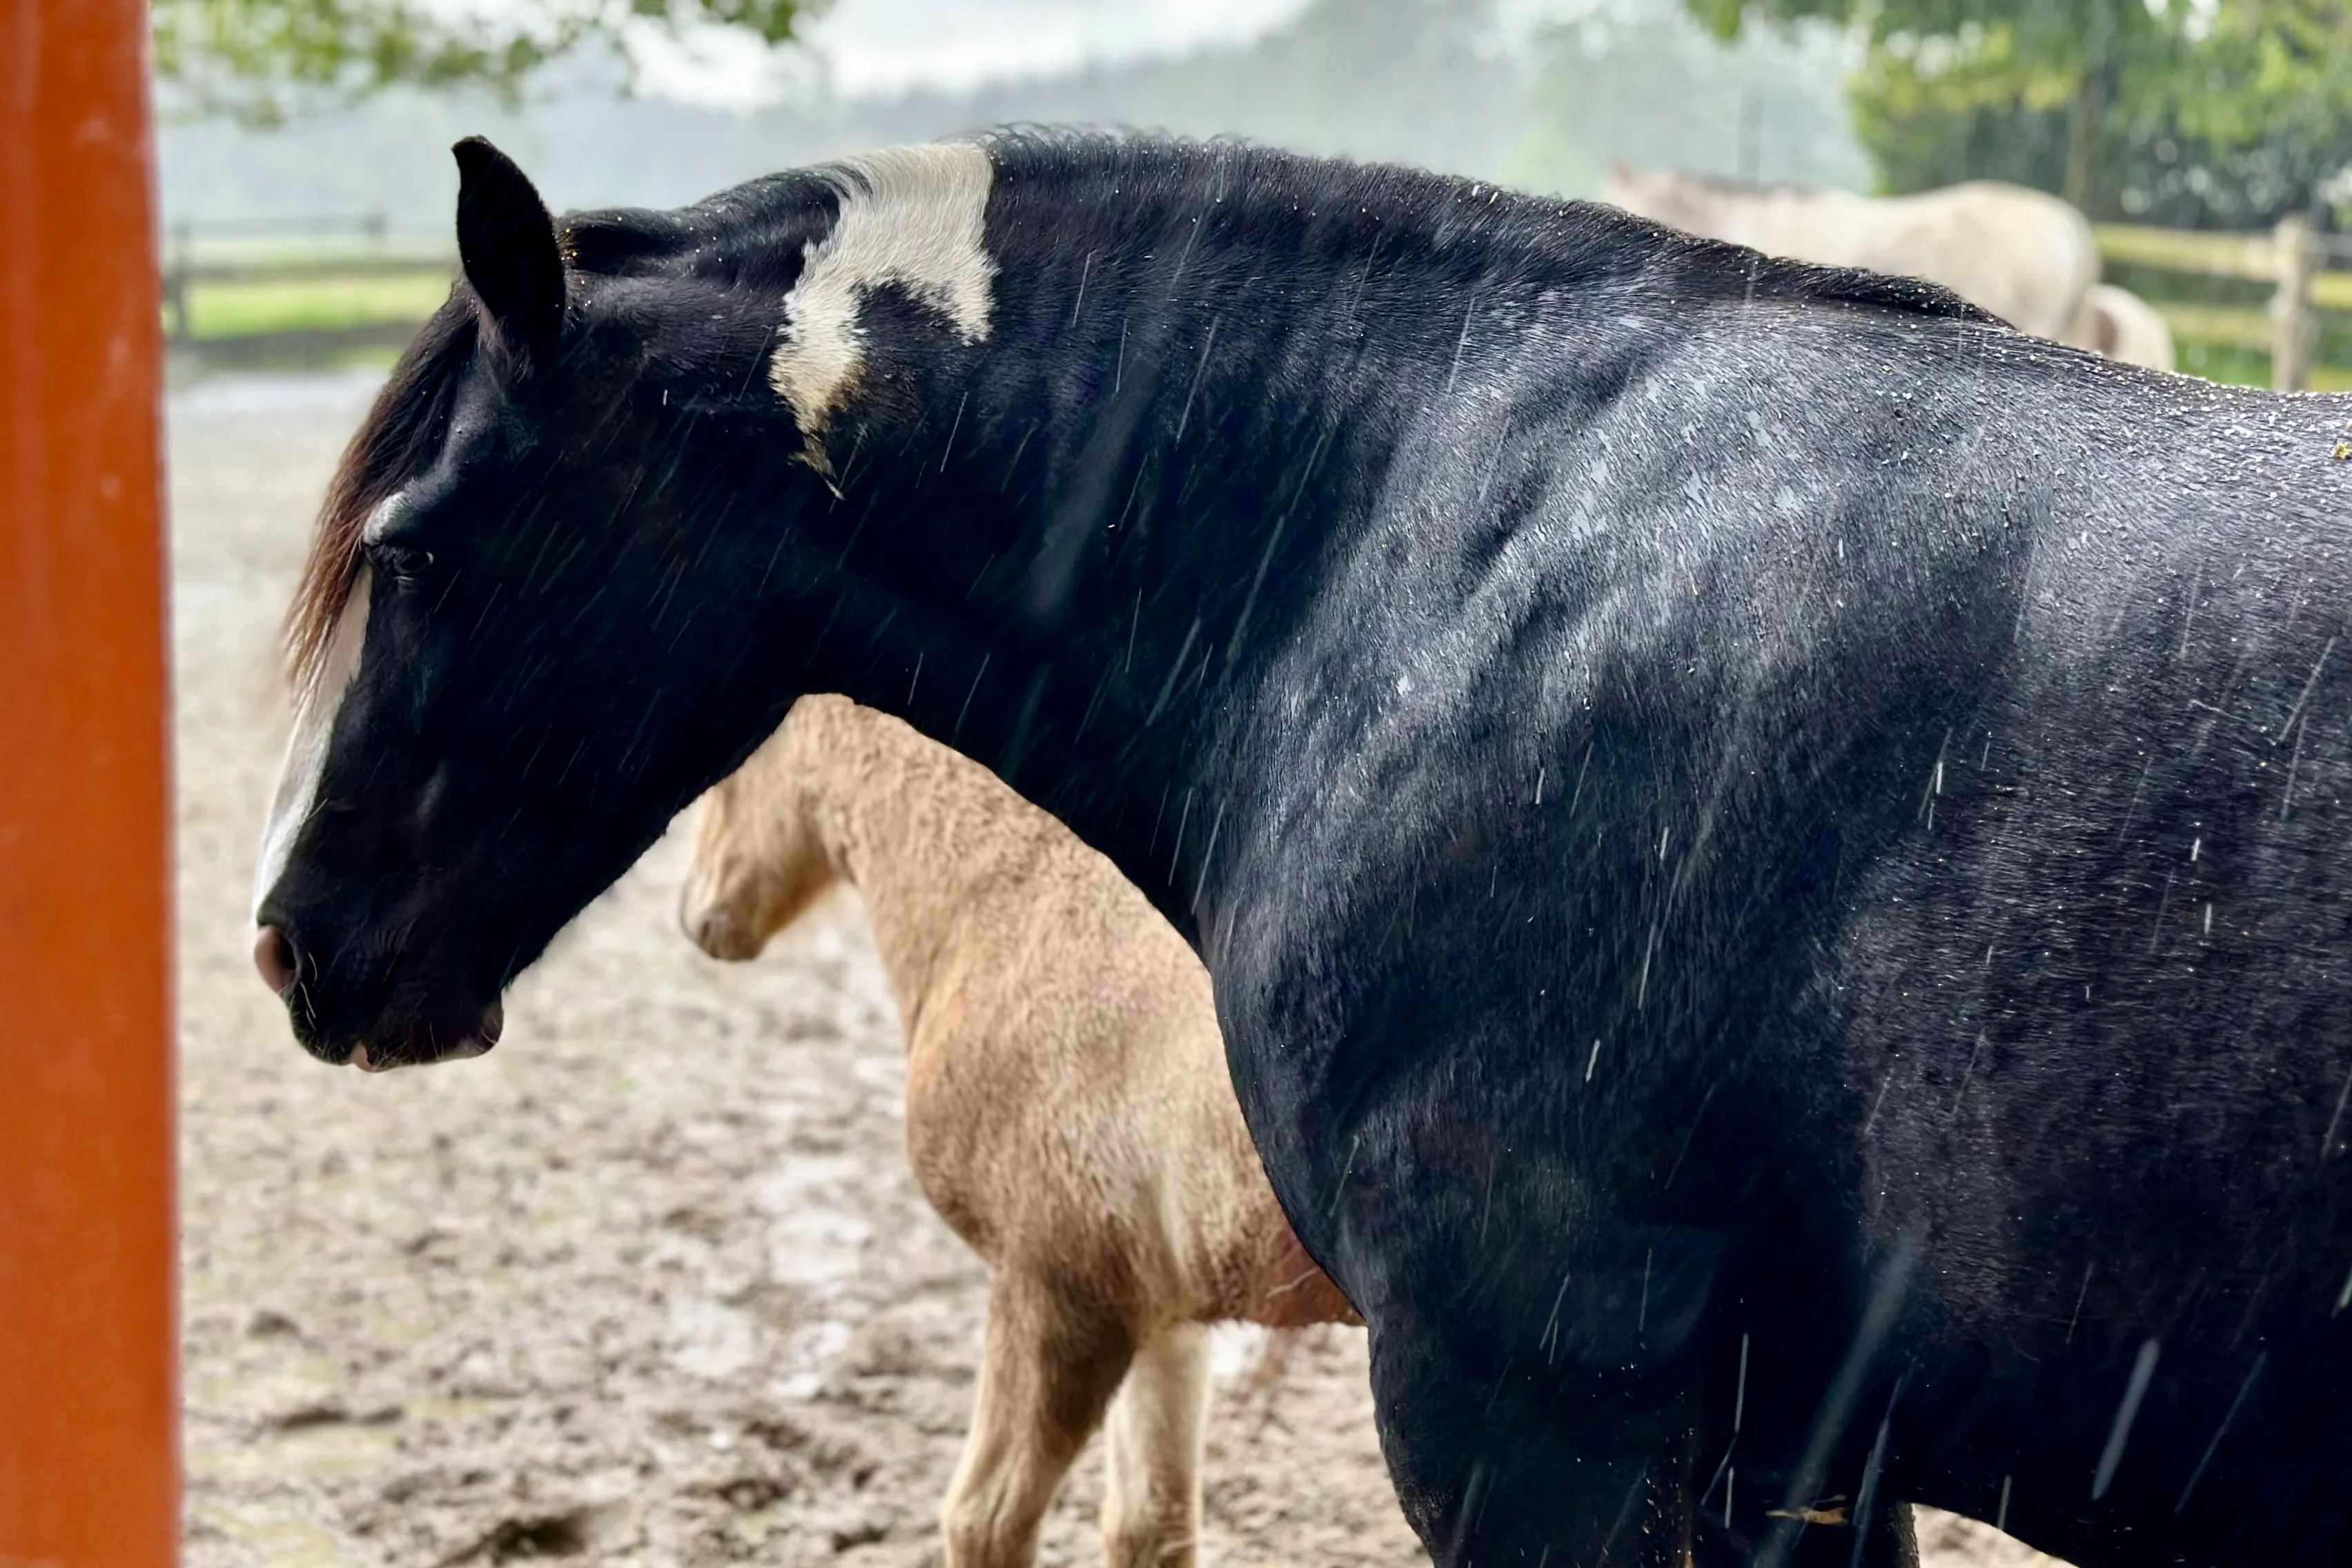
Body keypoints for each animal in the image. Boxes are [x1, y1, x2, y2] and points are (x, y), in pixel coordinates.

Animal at [681, 694, 1355, 1568]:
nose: (699, 917)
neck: (1016, 900)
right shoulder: (1164, 1314)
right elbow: (1152, 1523)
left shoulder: (1056, 1293)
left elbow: (985, 1518)